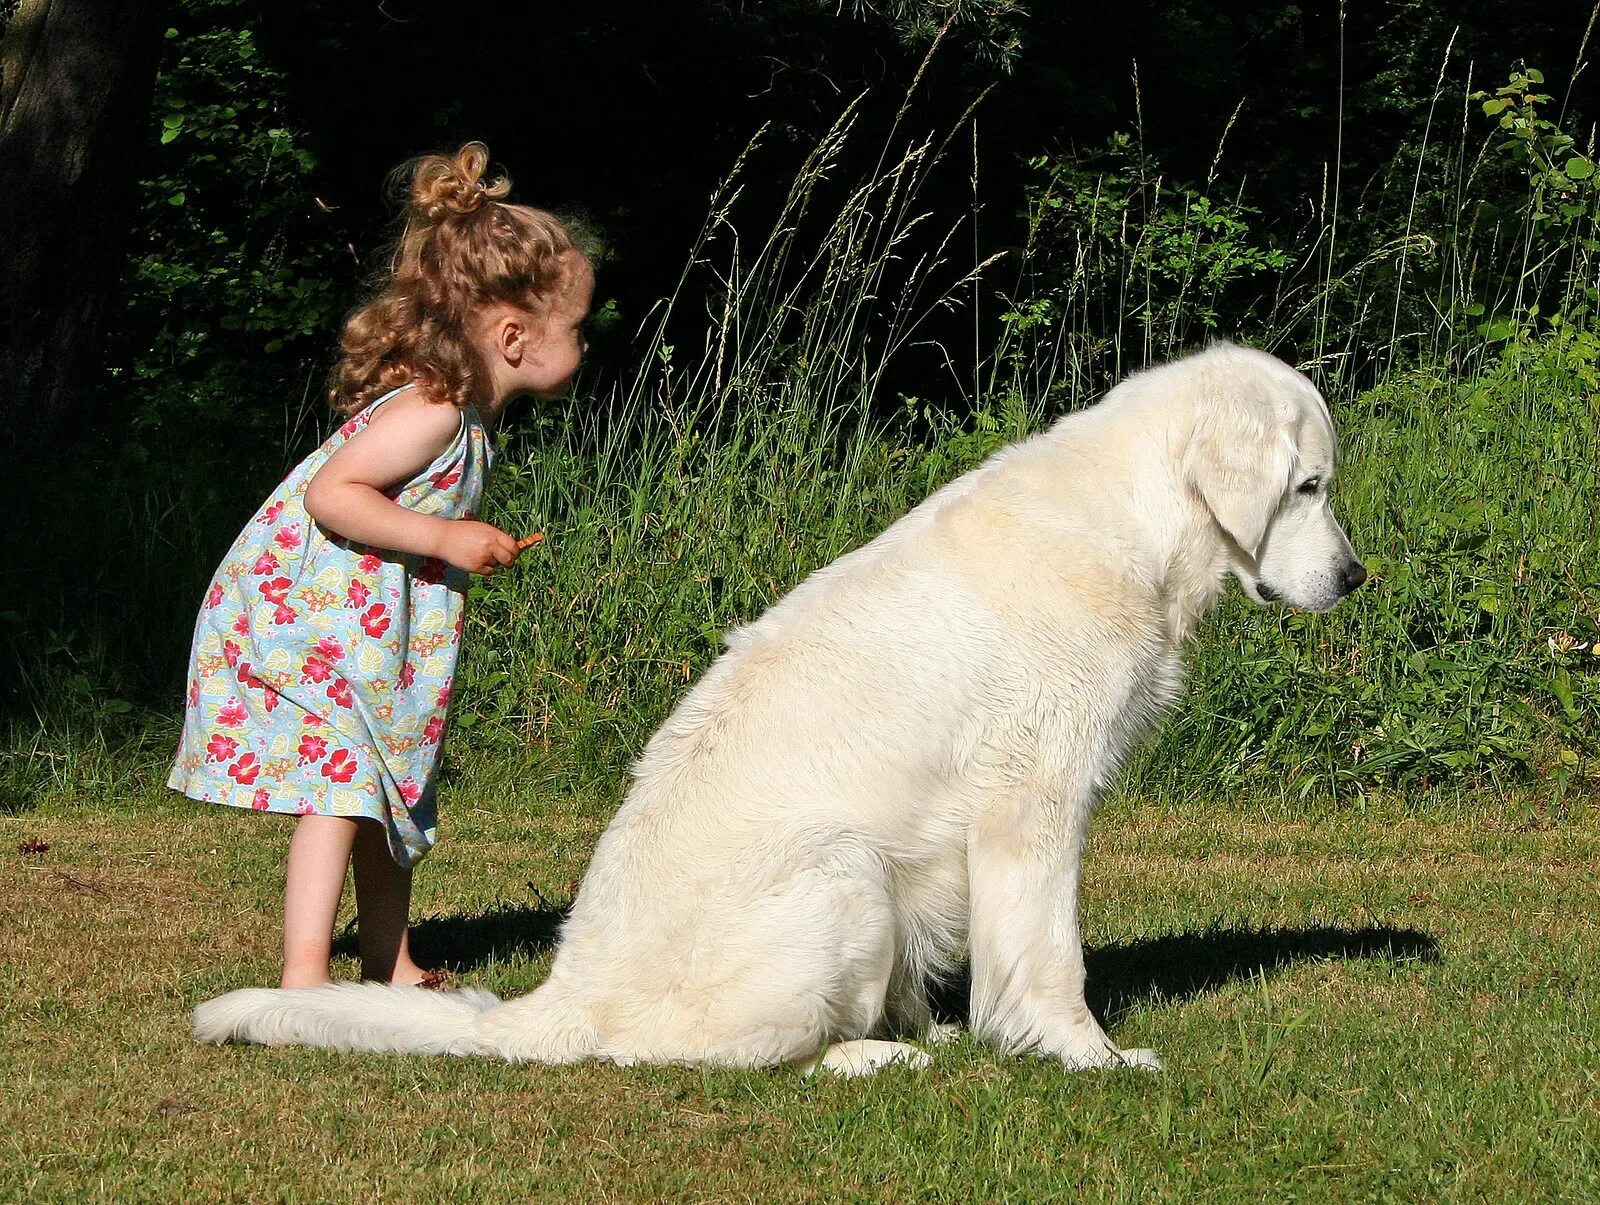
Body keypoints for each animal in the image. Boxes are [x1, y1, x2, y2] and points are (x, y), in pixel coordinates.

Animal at [193, 342, 1369, 1075]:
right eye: (1308, 487)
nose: (1357, 577)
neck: (1136, 524)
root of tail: (564, 998)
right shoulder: (1035, 805)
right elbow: (1051, 961)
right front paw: (1091, 1057)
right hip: (840, 869)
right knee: (713, 1054)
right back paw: (872, 1054)